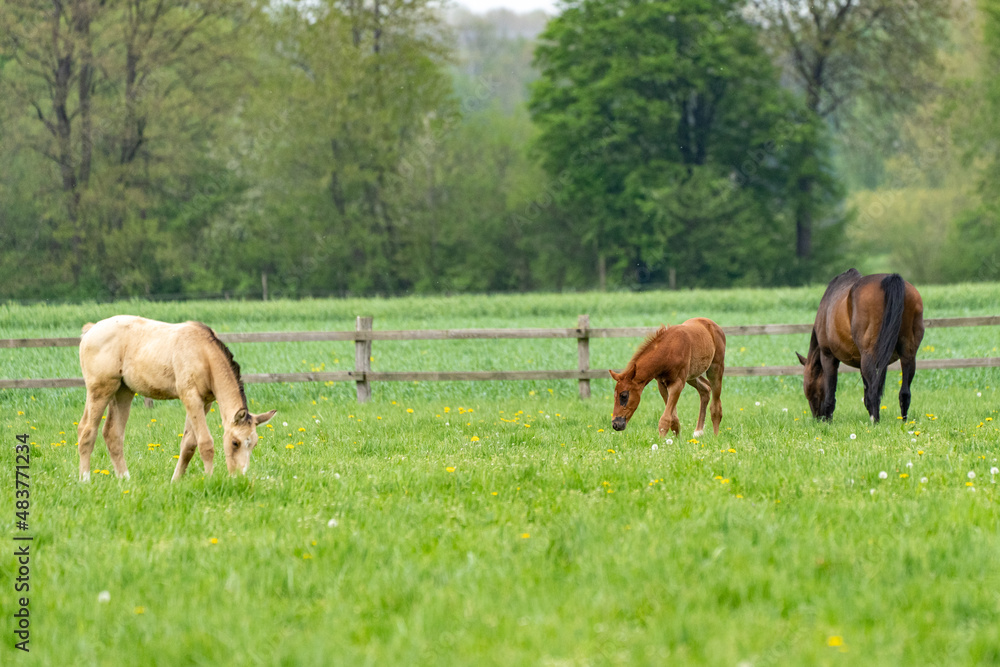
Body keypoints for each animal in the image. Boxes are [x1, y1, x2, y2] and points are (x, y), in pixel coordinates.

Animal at [800, 268, 924, 420]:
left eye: (810, 391)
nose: (818, 418)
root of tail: (891, 279)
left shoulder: (828, 356)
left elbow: (831, 394)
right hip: (908, 355)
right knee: (904, 393)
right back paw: (903, 421)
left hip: (868, 355)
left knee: (874, 393)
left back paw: (875, 421)